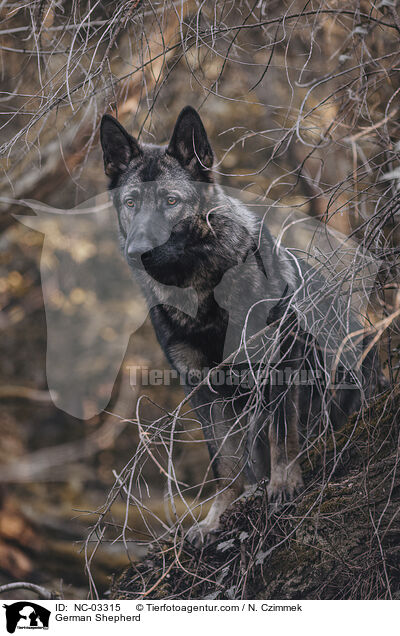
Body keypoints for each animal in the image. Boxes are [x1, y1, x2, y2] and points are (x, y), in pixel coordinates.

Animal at [100, 107, 382, 544]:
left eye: (171, 201)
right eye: (131, 202)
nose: (137, 252)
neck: (203, 295)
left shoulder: (279, 366)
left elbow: (282, 434)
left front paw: (284, 484)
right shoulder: (201, 389)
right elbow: (224, 463)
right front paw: (218, 515)